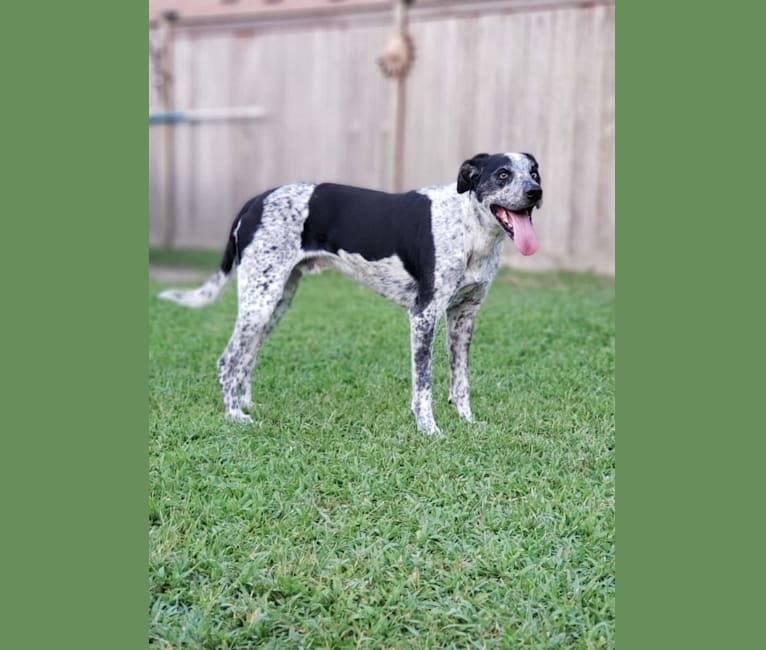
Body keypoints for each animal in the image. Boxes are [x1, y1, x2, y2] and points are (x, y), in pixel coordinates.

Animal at [159, 153, 544, 432]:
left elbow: (460, 381)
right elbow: (424, 385)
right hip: (260, 301)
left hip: (275, 301)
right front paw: (429, 430)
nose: (535, 193)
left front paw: (468, 422)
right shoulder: (424, 314)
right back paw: (234, 416)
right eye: (502, 174)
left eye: (535, 173)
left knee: (246, 358)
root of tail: (257, 199)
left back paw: (245, 405)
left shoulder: (464, 316)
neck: (470, 229)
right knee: (229, 360)